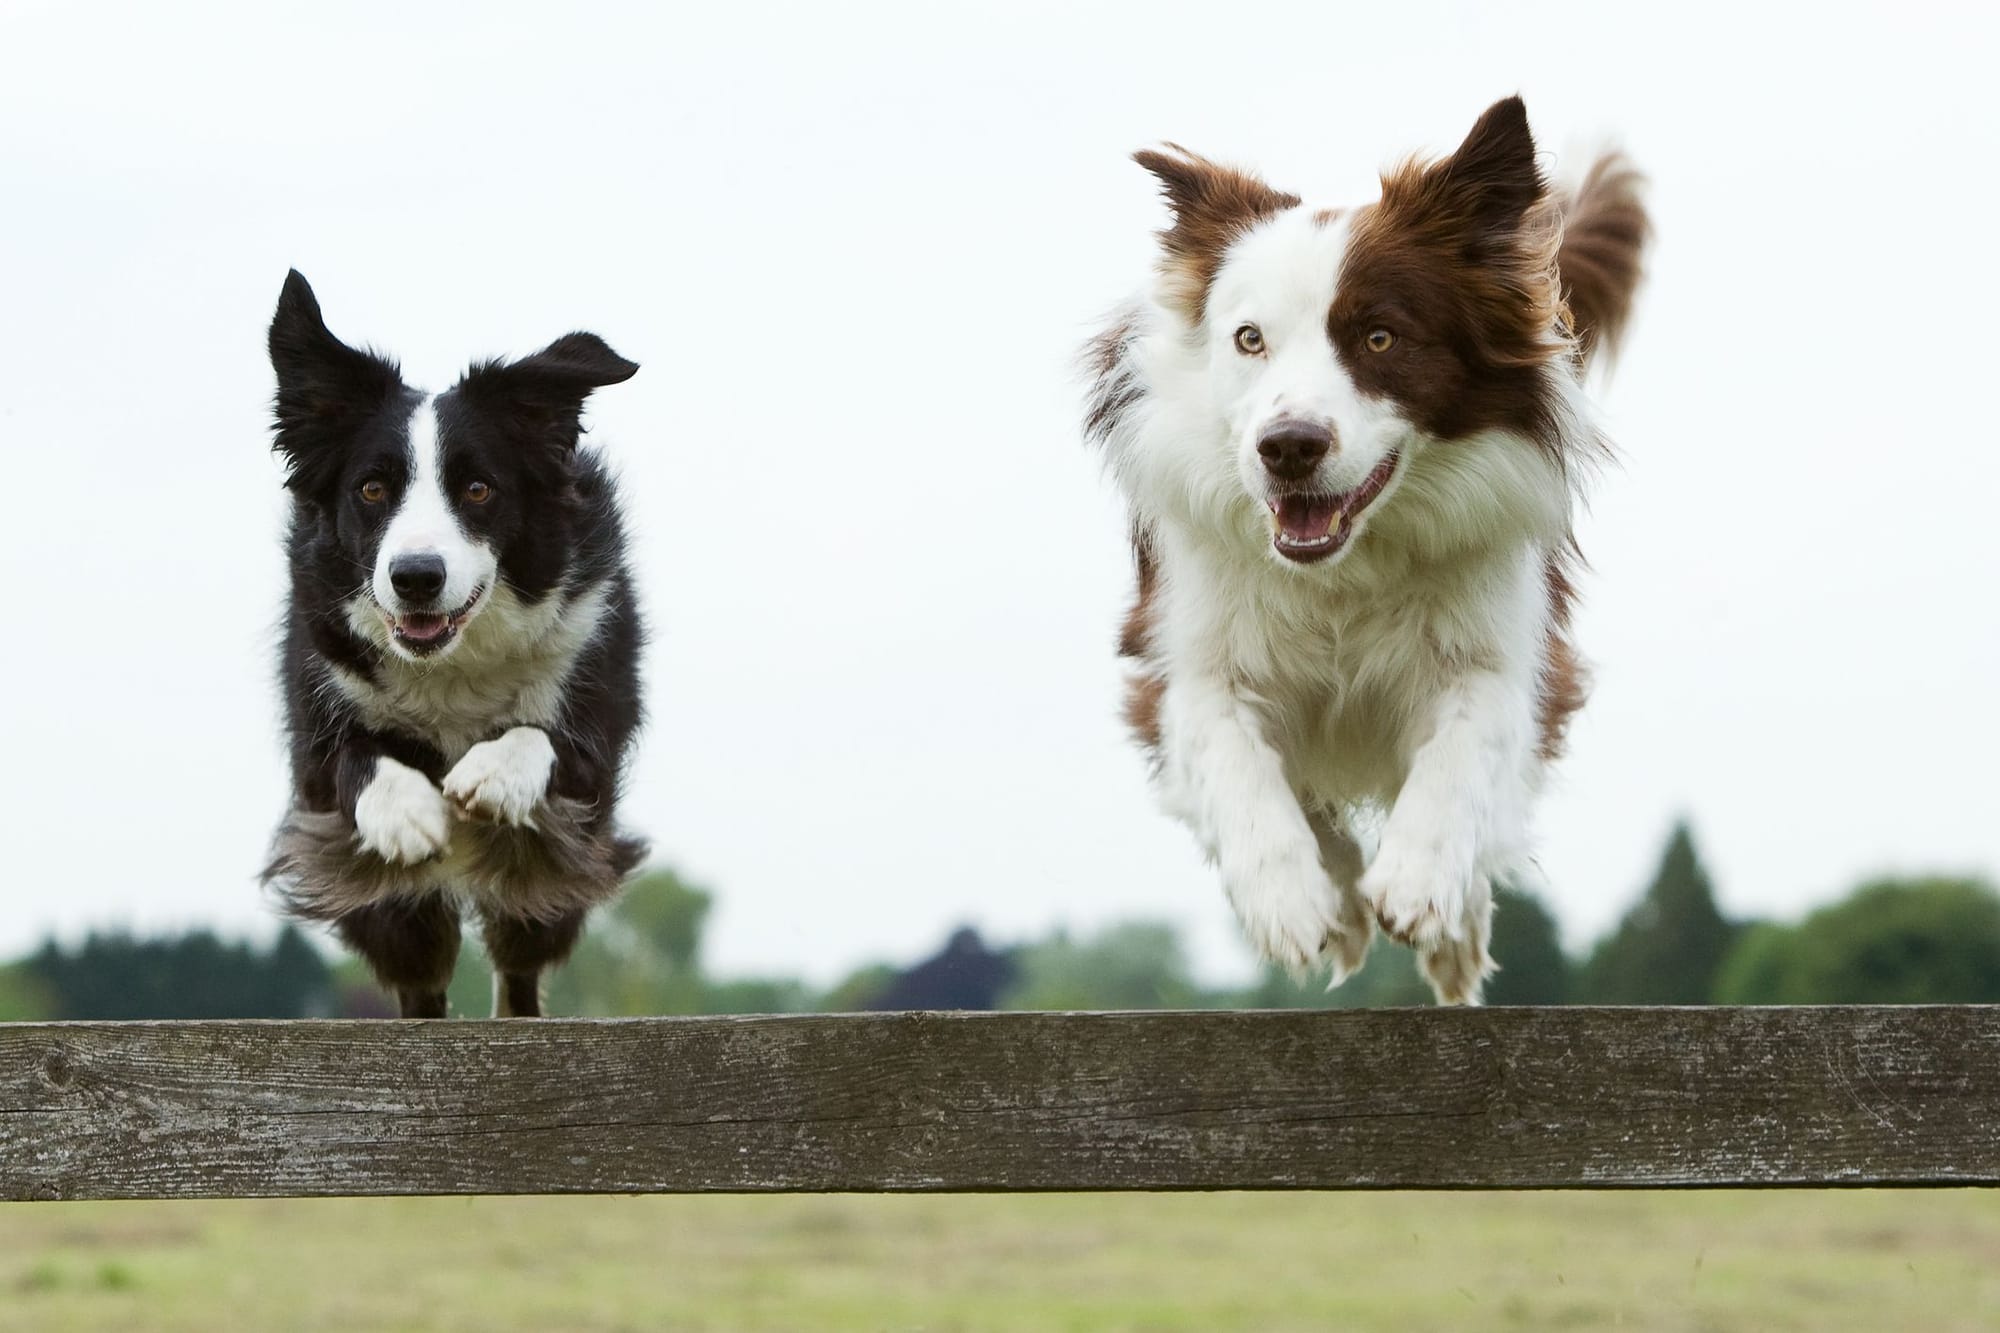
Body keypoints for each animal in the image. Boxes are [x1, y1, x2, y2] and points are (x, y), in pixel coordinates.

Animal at [262, 270, 644, 1016]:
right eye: (371, 488)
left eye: (477, 488)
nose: (416, 577)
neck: (450, 661)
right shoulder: (318, 714)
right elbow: (351, 758)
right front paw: (407, 812)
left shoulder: (592, 717)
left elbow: (548, 737)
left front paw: (490, 774)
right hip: (395, 910)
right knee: (421, 974)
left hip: (543, 877)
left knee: (520, 958)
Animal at [1088, 101, 1648, 996]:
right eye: (1248, 339)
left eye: (1380, 337)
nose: (1288, 446)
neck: (1345, 570)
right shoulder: (1186, 652)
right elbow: (1235, 759)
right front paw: (1293, 901)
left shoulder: (1501, 647)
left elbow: (1464, 751)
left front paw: (1421, 887)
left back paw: (1454, 937)